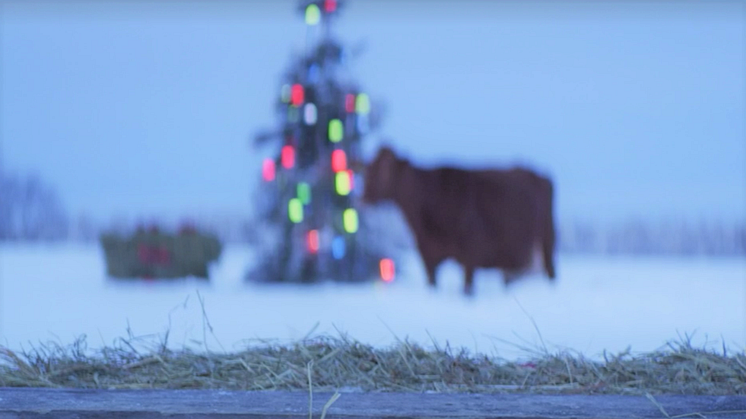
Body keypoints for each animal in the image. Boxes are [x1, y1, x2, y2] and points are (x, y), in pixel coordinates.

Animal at [360, 147, 552, 296]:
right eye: (370, 167)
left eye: (386, 169)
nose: (364, 197)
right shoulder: (427, 255)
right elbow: (432, 285)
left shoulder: (472, 253)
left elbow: (467, 290)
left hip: (546, 243)